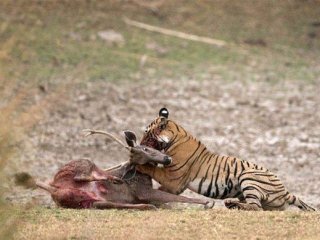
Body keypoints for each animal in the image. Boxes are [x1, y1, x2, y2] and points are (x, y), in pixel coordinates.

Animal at [36, 129, 214, 210]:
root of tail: (54, 188)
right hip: (83, 164)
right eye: (146, 149)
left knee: (104, 202)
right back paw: (111, 178)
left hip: (88, 201)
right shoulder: (143, 191)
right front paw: (207, 202)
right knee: (84, 174)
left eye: (151, 148)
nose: (167, 158)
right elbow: (177, 197)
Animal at [134, 108, 316, 211]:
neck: (175, 136)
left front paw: (138, 165)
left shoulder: (174, 179)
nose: (139, 143)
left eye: (146, 133)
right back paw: (232, 204)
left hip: (249, 176)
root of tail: (285, 191)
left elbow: (153, 170)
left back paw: (231, 204)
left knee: (256, 207)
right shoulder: (175, 185)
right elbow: (162, 192)